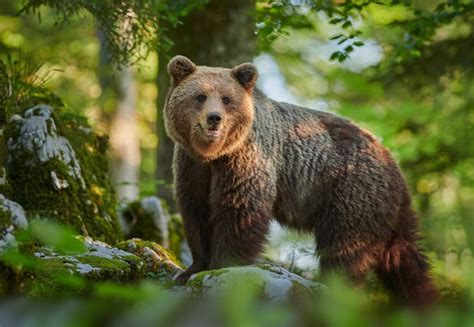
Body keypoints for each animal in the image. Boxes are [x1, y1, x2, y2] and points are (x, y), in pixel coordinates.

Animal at [162, 54, 436, 304]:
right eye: (200, 96)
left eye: (227, 98)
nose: (214, 118)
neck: (214, 155)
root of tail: (390, 160)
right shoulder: (192, 167)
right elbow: (196, 211)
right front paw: (192, 268)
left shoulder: (246, 160)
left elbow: (239, 209)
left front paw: (223, 265)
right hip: (387, 210)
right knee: (404, 257)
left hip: (351, 192)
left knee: (345, 247)